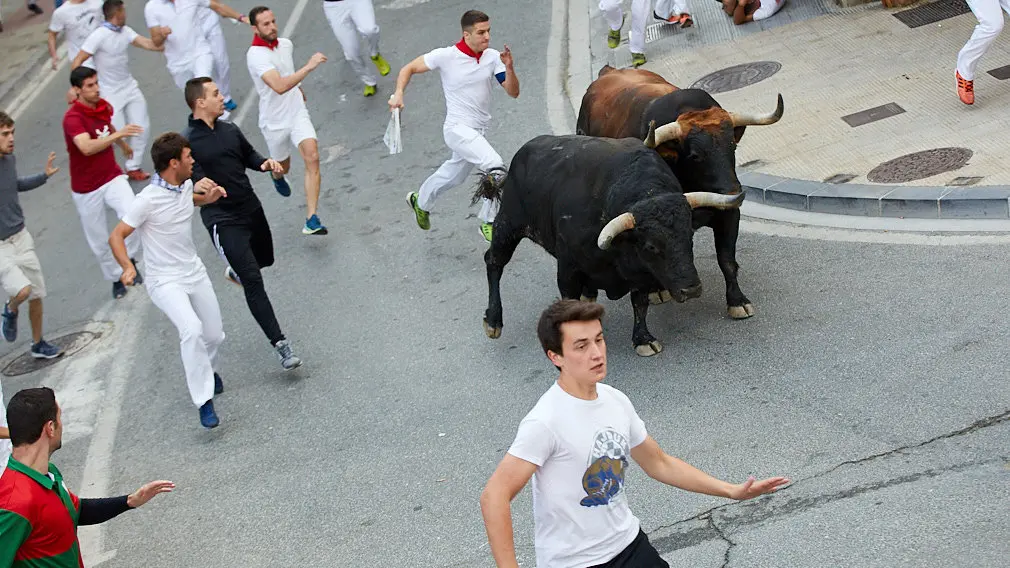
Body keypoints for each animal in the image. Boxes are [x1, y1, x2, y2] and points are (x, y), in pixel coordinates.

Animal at [480, 135, 743, 355]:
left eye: (689, 236)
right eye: (651, 246)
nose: (691, 289)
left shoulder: (641, 273)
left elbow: (640, 302)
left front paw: (643, 339)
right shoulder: (568, 268)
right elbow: (568, 299)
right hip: (508, 223)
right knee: (493, 261)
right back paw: (493, 321)